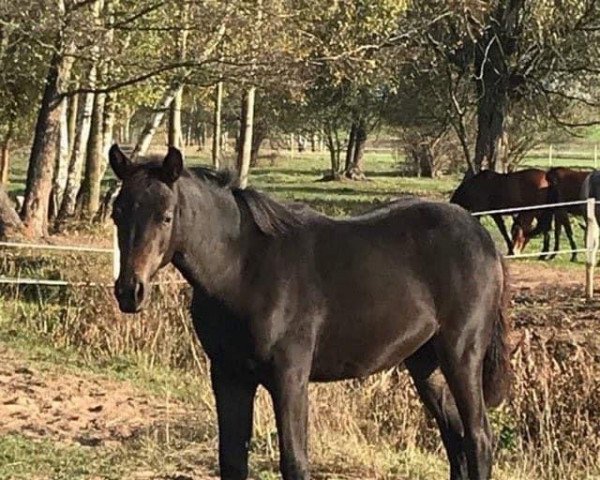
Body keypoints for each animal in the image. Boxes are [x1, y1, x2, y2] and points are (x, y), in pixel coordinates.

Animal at [109, 145, 510, 480]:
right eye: (117, 214)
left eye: (165, 217)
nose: (130, 291)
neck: (242, 270)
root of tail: (481, 235)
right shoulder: (229, 376)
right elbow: (232, 460)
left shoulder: (290, 376)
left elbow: (295, 462)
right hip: (425, 362)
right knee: (456, 437)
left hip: (460, 354)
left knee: (478, 437)